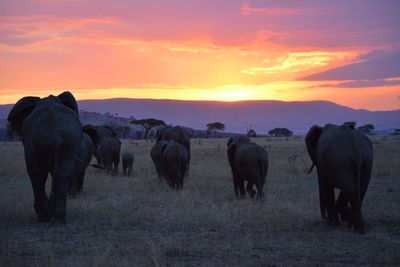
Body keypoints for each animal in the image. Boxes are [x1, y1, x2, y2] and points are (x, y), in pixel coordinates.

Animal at [7, 92, 81, 224]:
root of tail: (55, 137)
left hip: (40, 143)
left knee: (37, 176)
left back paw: (44, 217)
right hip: (69, 142)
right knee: (63, 173)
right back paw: (58, 219)